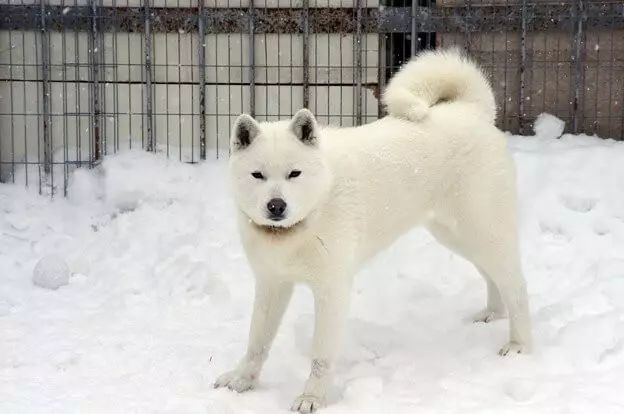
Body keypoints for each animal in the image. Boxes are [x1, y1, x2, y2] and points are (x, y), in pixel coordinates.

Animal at [214, 50, 532, 412]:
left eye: (294, 173)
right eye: (257, 175)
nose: (276, 206)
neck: (307, 217)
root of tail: (473, 110)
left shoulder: (332, 290)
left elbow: (320, 356)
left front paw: (312, 397)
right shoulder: (271, 285)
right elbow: (257, 342)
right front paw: (242, 381)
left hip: (483, 230)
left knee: (517, 286)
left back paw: (520, 345)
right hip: (459, 236)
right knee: (493, 277)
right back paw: (493, 314)